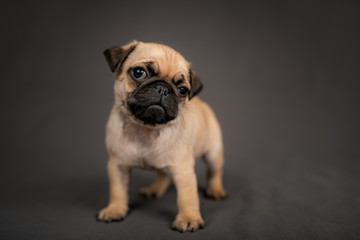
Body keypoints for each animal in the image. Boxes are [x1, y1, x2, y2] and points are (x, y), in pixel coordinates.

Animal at [97, 40, 226, 232]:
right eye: (139, 72)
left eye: (182, 90)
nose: (163, 89)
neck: (145, 128)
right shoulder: (117, 165)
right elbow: (117, 191)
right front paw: (115, 210)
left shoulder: (183, 170)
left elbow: (187, 198)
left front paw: (189, 218)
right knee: (163, 175)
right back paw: (154, 189)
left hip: (213, 153)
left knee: (214, 172)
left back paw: (215, 190)